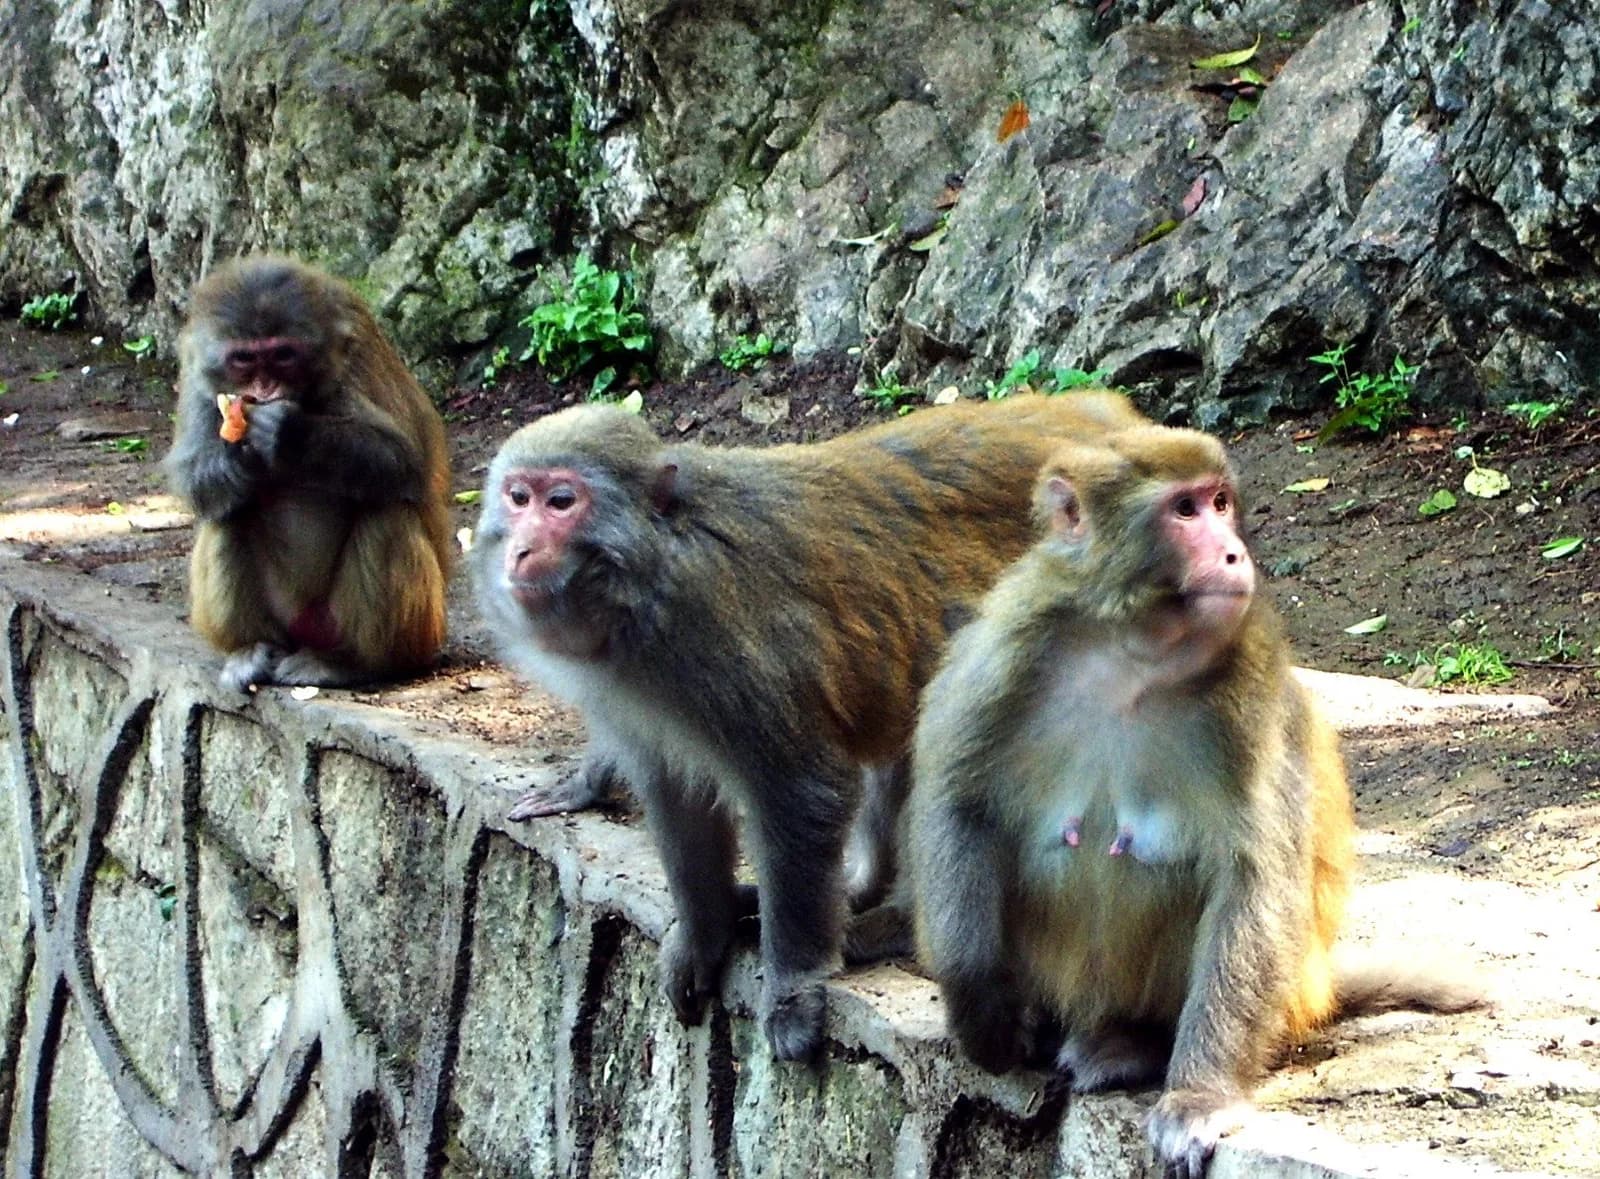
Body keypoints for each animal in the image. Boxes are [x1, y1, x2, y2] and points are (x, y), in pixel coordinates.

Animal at [165, 254, 453, 691]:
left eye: (283, 355)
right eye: (244, 359)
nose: (265, 391)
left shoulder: (357, 354)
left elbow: (405, 457)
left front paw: (290, 434)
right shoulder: (198, 372)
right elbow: (194, 476)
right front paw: (238, 452)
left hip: (406, 630)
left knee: (386, 510)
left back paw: (355, 664)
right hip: (285, 620)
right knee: (228, 514)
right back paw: (250, 650)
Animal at [472, 390, 1149, 1061]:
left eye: (562, 502)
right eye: (518, 497)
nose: (520, 550)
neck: (651, 572)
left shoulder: (719, 641)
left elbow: (799, 788)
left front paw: (794, 988)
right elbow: (676, 795)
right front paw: (703, 932)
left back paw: (892, 924)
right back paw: (857, 892)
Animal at [908, 426, 1481, 1176]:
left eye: (1221, 502)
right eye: (1185, 510)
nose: (1234, 552)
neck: (1133, 653)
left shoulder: (1252, 696)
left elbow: (1253, 880)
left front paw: (1199, 1097)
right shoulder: (1004, 648)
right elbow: (959, 803)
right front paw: (985, 1017)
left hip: (1288, 992)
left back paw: (1134, 1042)